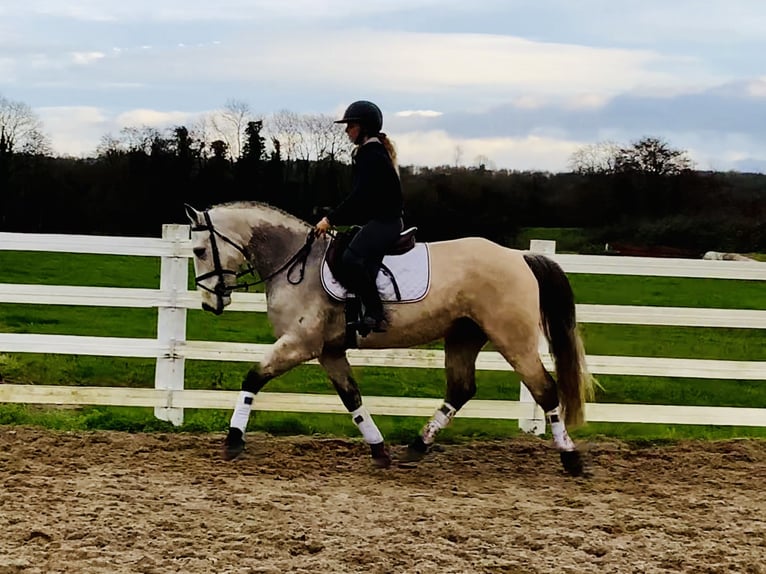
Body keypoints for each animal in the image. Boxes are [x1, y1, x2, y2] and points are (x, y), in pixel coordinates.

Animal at [185, 201, 594, 476]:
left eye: (199, 250)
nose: (210, 303)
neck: (296, 263)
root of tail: (520, 256)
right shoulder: (329, 351)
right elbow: (352, 399)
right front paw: (379, 450)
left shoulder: (300, 343)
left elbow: (253, 377)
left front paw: (233, 440)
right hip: (464, 337)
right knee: (461, 389)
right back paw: (416, 447)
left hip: (514, 339)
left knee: (545, 391)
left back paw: (570, 457)